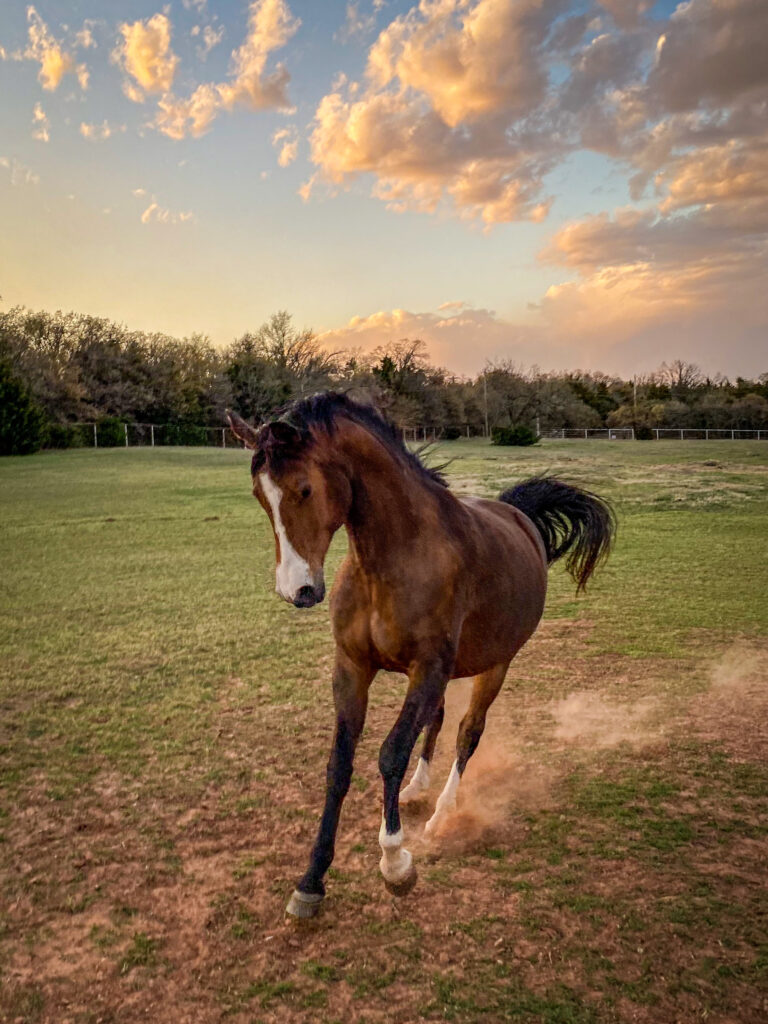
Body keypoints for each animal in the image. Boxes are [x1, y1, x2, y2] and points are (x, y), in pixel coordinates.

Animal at [226, 392, 615, 918]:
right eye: (259, 496)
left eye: (303, 489)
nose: (297, 591)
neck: (393, 559)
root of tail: (519, 516)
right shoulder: (354, 669)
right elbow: (339, 766)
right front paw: (311, 880)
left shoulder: (426, 669)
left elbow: (390, 754)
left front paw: (395, 862)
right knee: (438, 718)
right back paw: (418, 788)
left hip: (494, 666)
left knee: (468, 732)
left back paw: (442, 813)